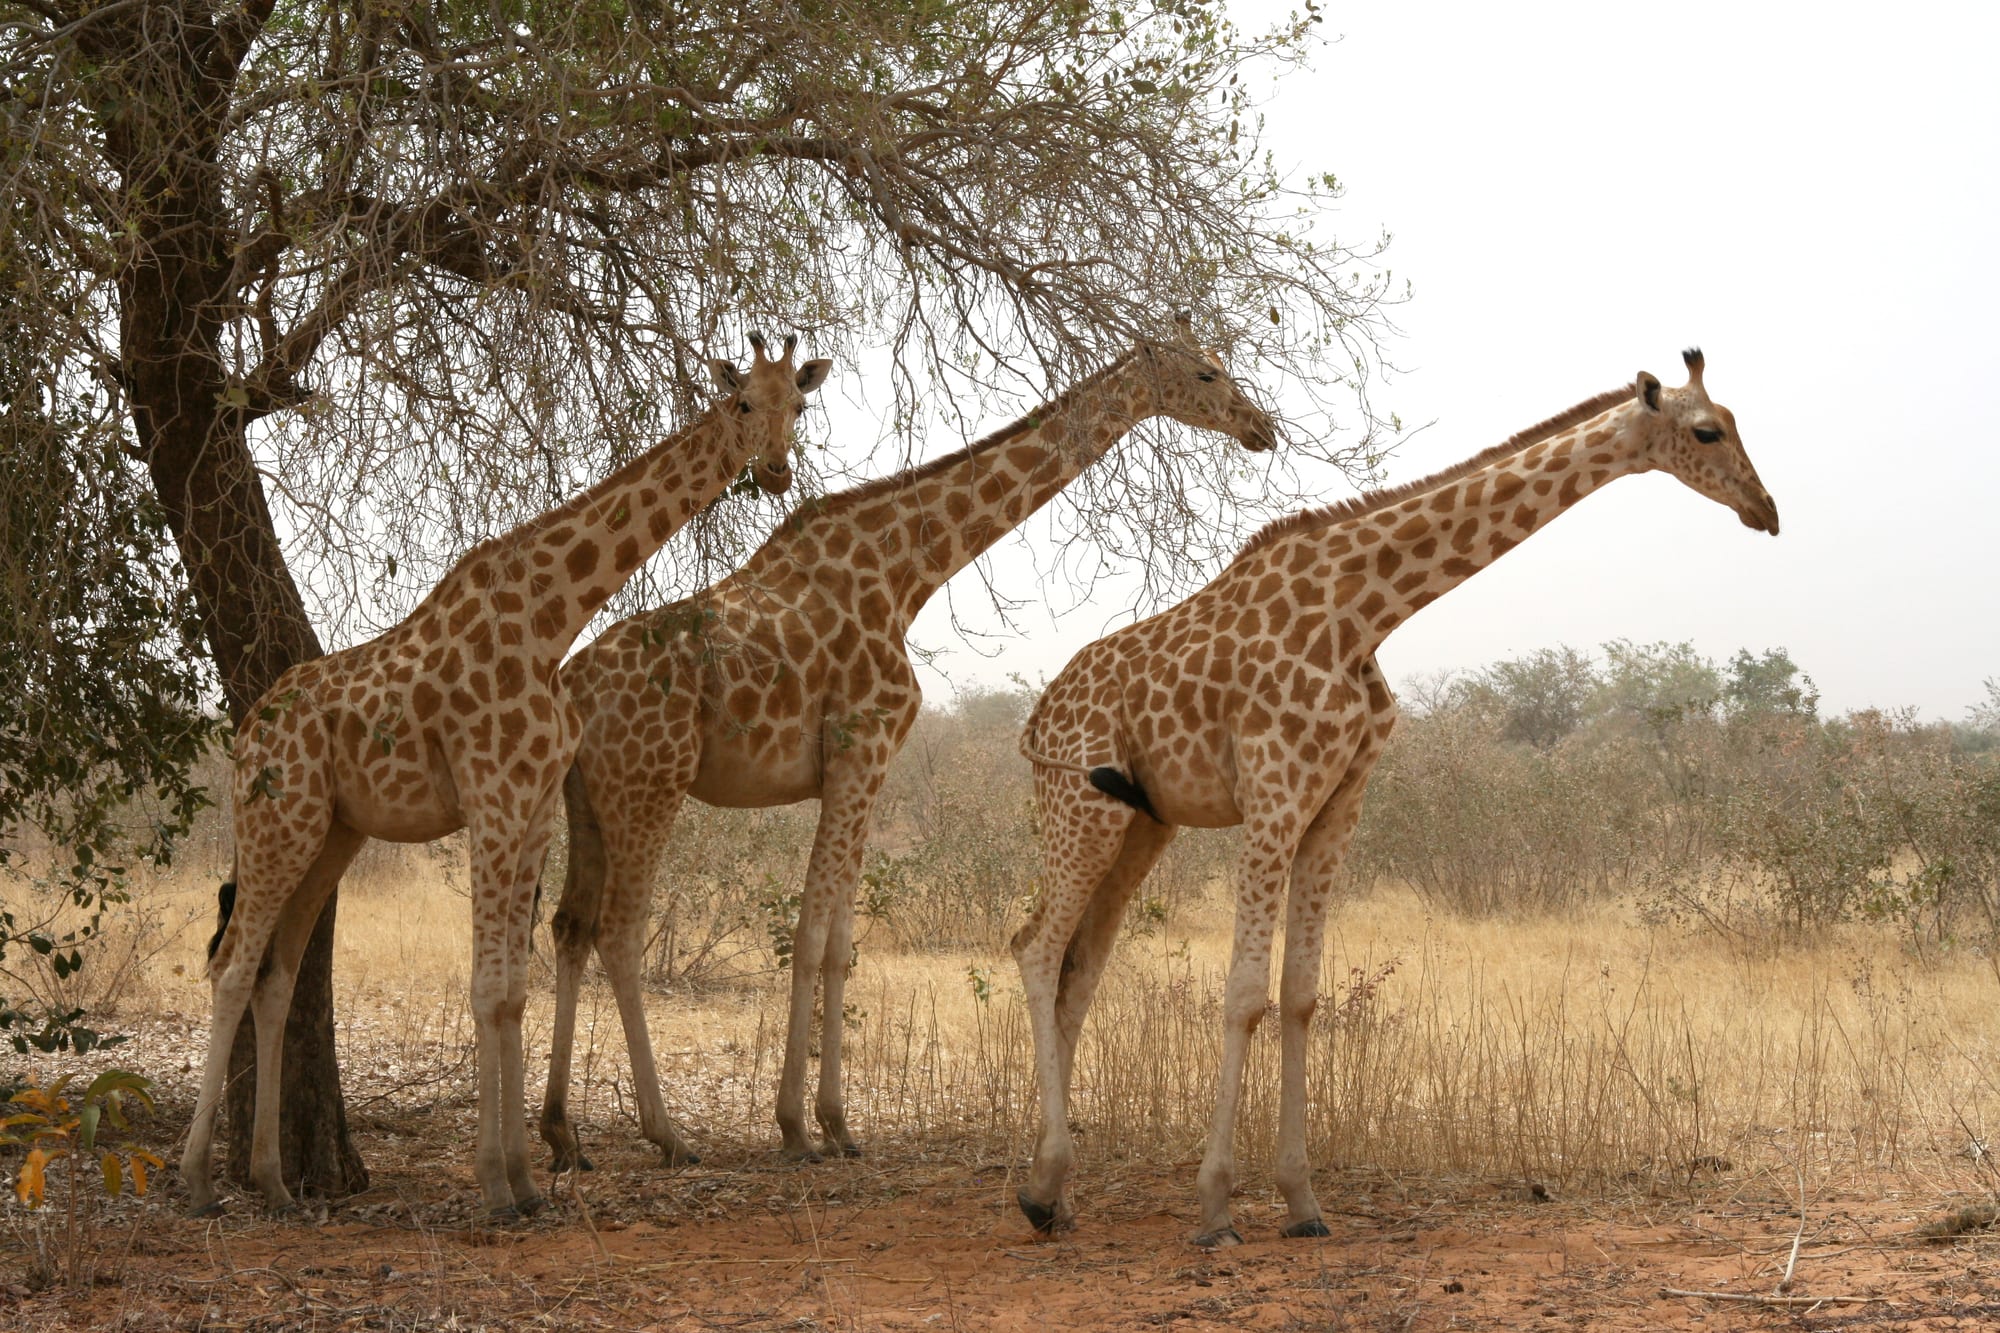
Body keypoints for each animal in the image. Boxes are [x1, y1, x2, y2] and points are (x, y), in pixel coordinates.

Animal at [180, 334, 832, 1217]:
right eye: (741, 402)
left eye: (797, 404)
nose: (775, 470)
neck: (552, 619)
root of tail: (247, 731)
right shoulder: (491, 800)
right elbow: (487, 989)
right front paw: (495, 1182)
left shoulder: (531, 810)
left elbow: (515, 990)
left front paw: (526, 1179)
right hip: (275, 823)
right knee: (230, 966)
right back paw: (194, 1178)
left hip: (332, 834)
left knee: (276, 975)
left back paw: (274, 1181)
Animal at [538, 323, 1279, 1170]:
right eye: (1207, 372)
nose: (1262, 428)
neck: (908, 572)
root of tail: (574, 689)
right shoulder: (860, 748)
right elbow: (812, 935)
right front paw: (799, 1124)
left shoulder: (867, 768)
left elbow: (837, 940)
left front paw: (834, 1123)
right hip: (650, 782)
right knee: (619, 931)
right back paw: (667, 1133)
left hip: (588, 798)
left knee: (568, 925)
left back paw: (559, 1131)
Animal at [1011, 350, 1777, 1246]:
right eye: (1707, 430)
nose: (1766, 510)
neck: (1364, 610)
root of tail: (1037, 715)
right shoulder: (1274, 791)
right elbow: (1244, 993)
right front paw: (1215, 1205)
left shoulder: (1339, 800)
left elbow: (1302, 992)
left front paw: (1303, 1201)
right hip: (1080, 810)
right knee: (1034, 947)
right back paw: (1044, 1183)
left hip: (1141, 826)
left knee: (1078, 967)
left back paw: (1055, 1194)